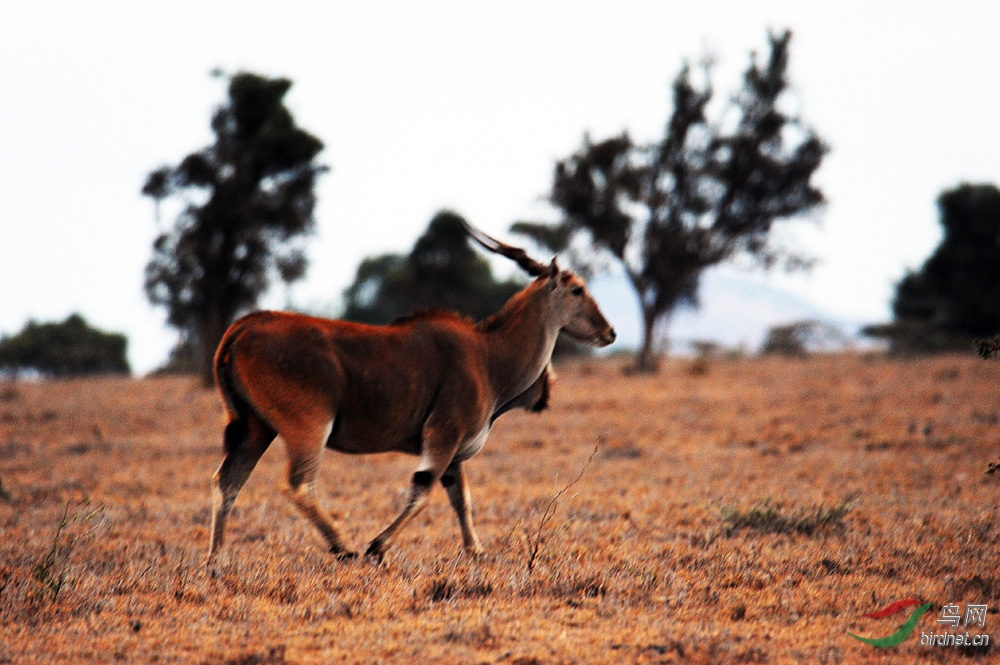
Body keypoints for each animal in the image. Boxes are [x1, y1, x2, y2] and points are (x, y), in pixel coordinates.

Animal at [209, 223, 616, 560]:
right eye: (577, 290)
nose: (609, 332)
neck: (488, 355)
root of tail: (244, 327)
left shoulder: (453, 456)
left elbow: (461, 499)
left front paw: (475, 550)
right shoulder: (442, 437)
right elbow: (423, 491)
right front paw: (376, 546)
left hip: (255, 429)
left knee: (227, 483)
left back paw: (217, 560)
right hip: (307, 427)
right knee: (298, 485)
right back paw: (343, 546)